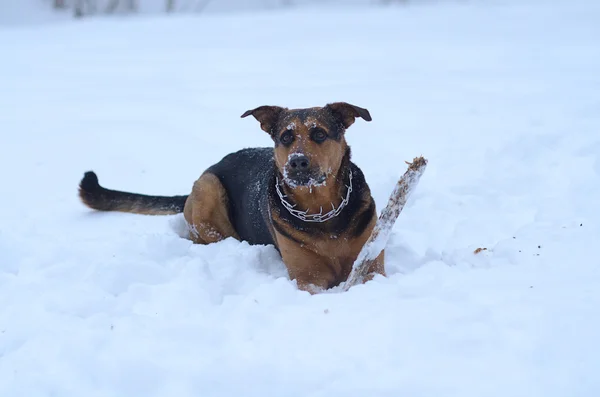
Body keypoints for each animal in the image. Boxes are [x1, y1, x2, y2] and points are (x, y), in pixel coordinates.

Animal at [78, 102, 384, 290]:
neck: (321, 211)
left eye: (319, 134)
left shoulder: (372, 265)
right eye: (286, 137)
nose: (297, 162)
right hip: (209, 187)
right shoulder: (308, 278)